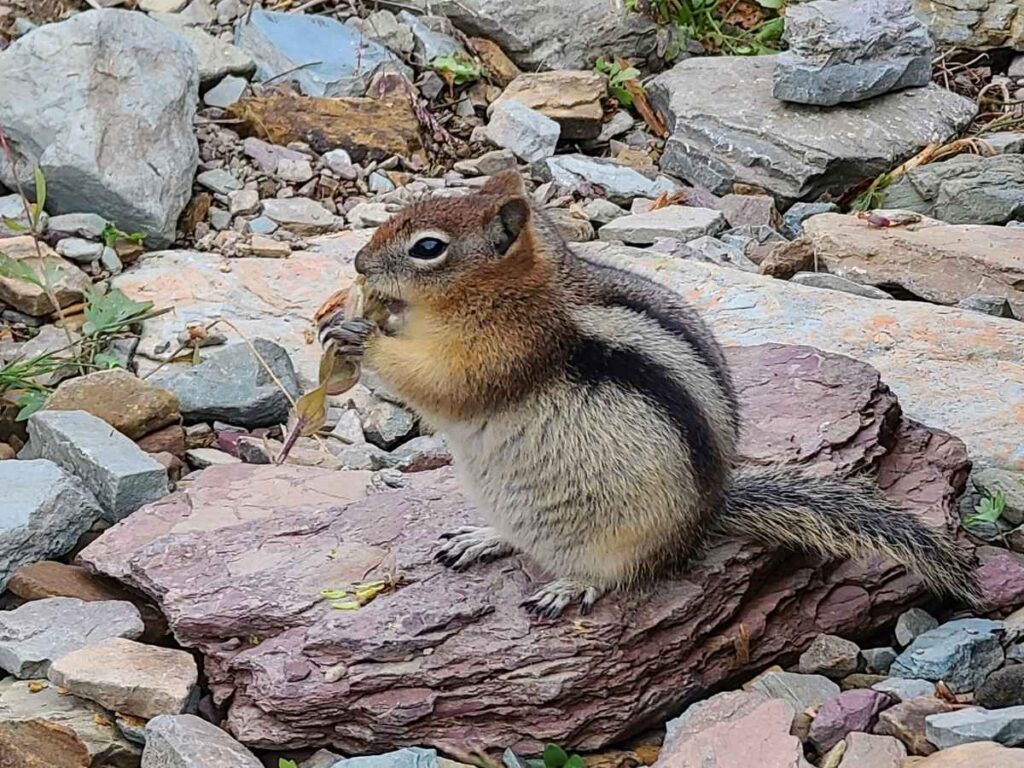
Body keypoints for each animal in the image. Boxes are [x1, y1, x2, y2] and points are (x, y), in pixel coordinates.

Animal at [320, 169, 980, 619]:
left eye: (428, 247)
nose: (358, 263)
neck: (514, 291)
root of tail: (704, 522)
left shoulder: (503, 352)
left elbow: (439, 384)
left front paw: (360, 337)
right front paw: (350, 314)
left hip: (618, 541)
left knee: (619, 575)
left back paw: (567, 587)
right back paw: (480, 538)